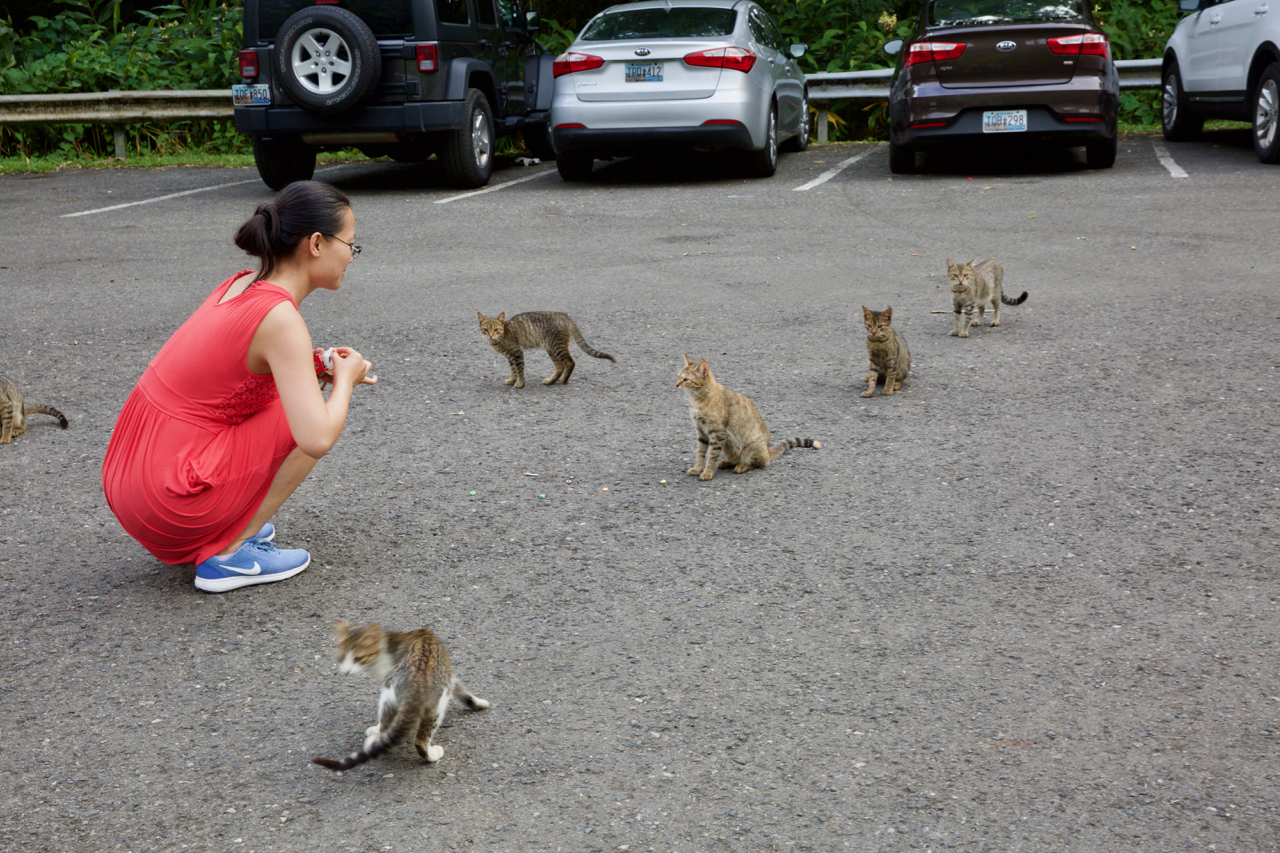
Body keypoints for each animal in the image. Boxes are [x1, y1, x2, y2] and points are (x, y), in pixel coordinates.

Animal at [311, 617, 488, 768]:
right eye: (341, 657)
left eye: (358, 658)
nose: (346, 671)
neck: (385, 647)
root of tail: (417, 683)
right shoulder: (448, 676)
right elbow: (461, 689)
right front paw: (479, 703)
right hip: (434, 701)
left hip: (393, 695)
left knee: (396, 731)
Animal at [481, 311, 616, 386]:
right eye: (485, 329)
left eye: (496, 329)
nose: (490, 335)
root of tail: (565, 315)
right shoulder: (510, 356)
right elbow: (513, 370)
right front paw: (512, 380)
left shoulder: (517, 352)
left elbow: (519, 370)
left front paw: (520, 383)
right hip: (551, 348)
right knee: (560, 366)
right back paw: (551, 381)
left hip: (556, 346)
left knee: (570, 362)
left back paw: (563, 380)